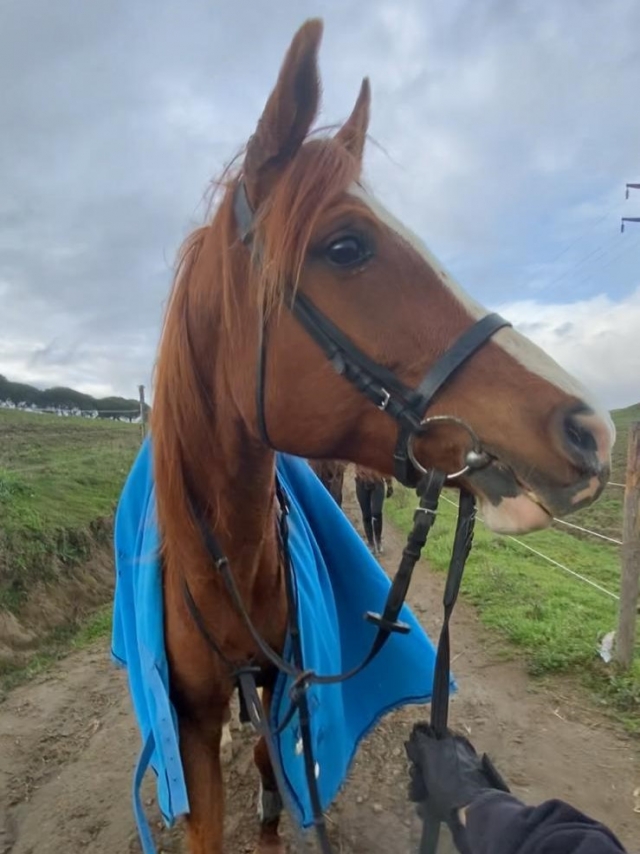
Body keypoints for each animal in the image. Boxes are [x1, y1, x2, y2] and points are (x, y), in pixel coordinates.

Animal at [147, 18, 614, 854]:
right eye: (345, 248)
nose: (593, 430)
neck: (223, 562)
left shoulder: (284, 680)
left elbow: (273, 771)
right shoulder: (191, 727)